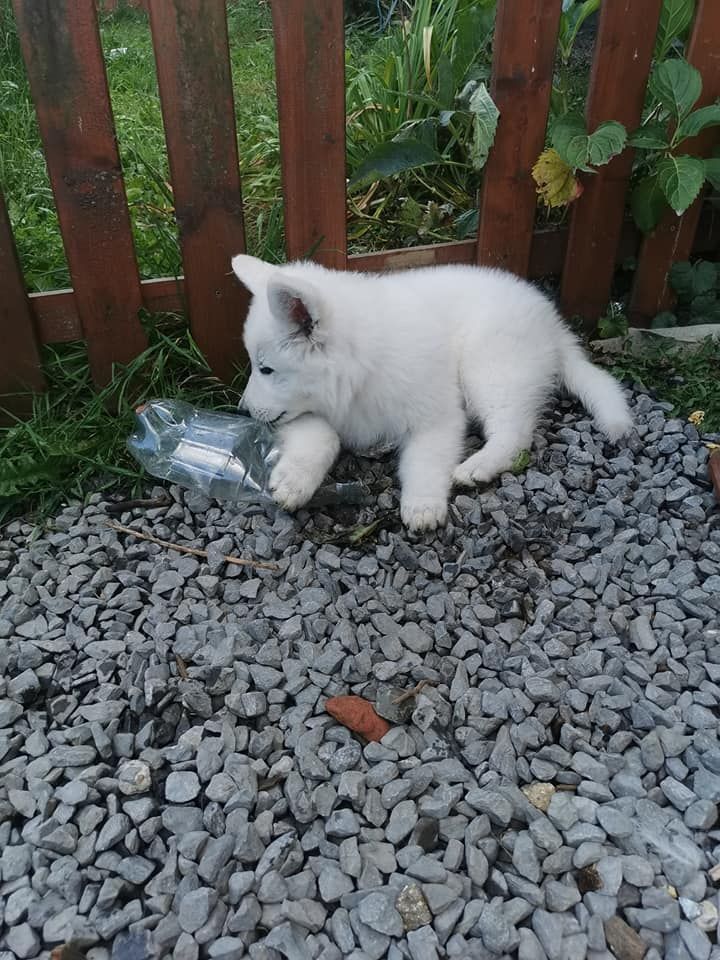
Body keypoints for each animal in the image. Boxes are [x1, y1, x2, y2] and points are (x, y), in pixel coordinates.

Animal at [231, 255, 632, 532]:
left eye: (266, 369)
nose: (243, 410)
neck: (361, 372)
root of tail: (552, 321)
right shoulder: (303, 414)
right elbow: (322, 435)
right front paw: (295, 480)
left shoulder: (436, 416)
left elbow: (425, 460)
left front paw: (422, 504)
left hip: (490, 368)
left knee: (514, 432)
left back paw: (478, 466)